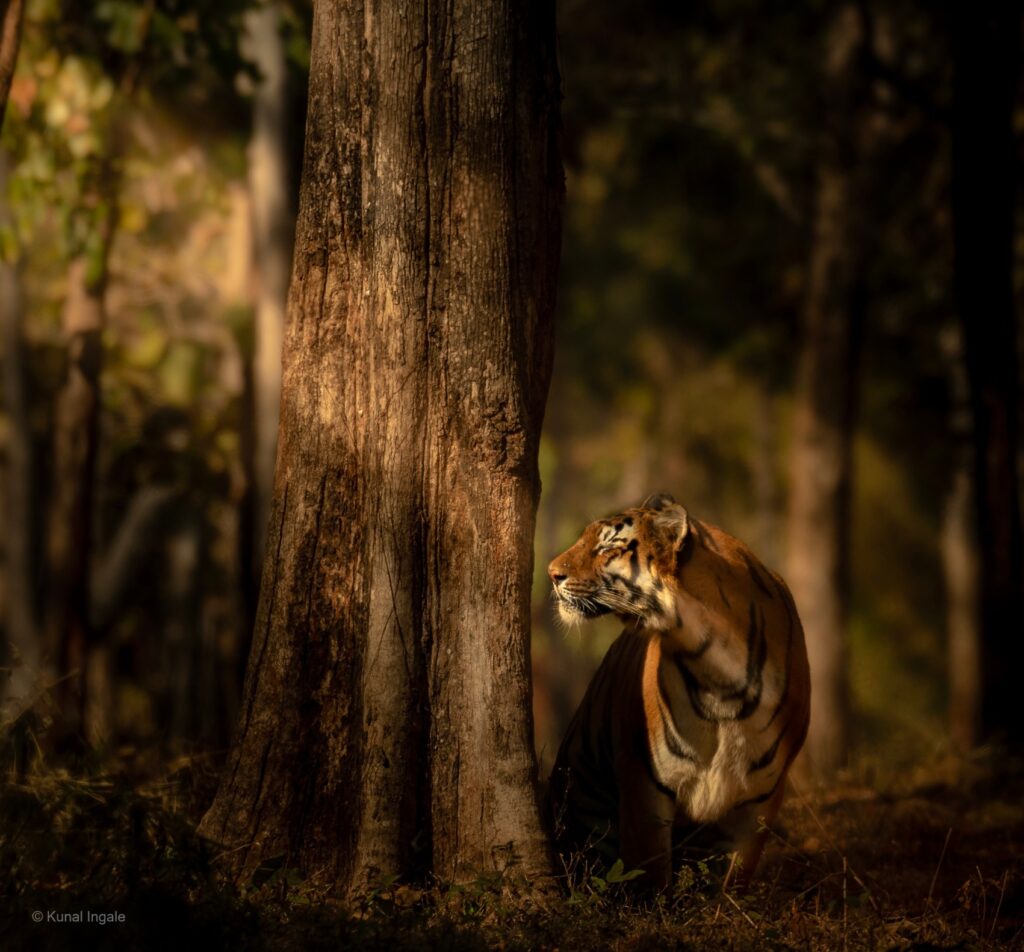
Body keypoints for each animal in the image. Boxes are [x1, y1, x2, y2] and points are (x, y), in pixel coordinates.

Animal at [540, 493, 811, 888]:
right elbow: (648, 871)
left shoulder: (762, 796)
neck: (719, 673)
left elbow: (735, 876)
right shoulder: (645, 778)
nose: (551, 573)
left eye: (607, 547)